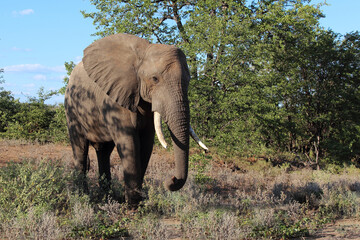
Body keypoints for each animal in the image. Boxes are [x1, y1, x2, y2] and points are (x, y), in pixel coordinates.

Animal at [63, 32, 207, 204]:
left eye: (188, 81)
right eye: (155, 79)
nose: (171, 179)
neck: (142, 54)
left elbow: (146, 144)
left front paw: (137, 202)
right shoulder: (115, 100)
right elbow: (130, 143)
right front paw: (132, 204)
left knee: (104, 152)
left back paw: (107, 197)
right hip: (72, 109)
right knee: (80, 149)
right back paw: (84, 198)